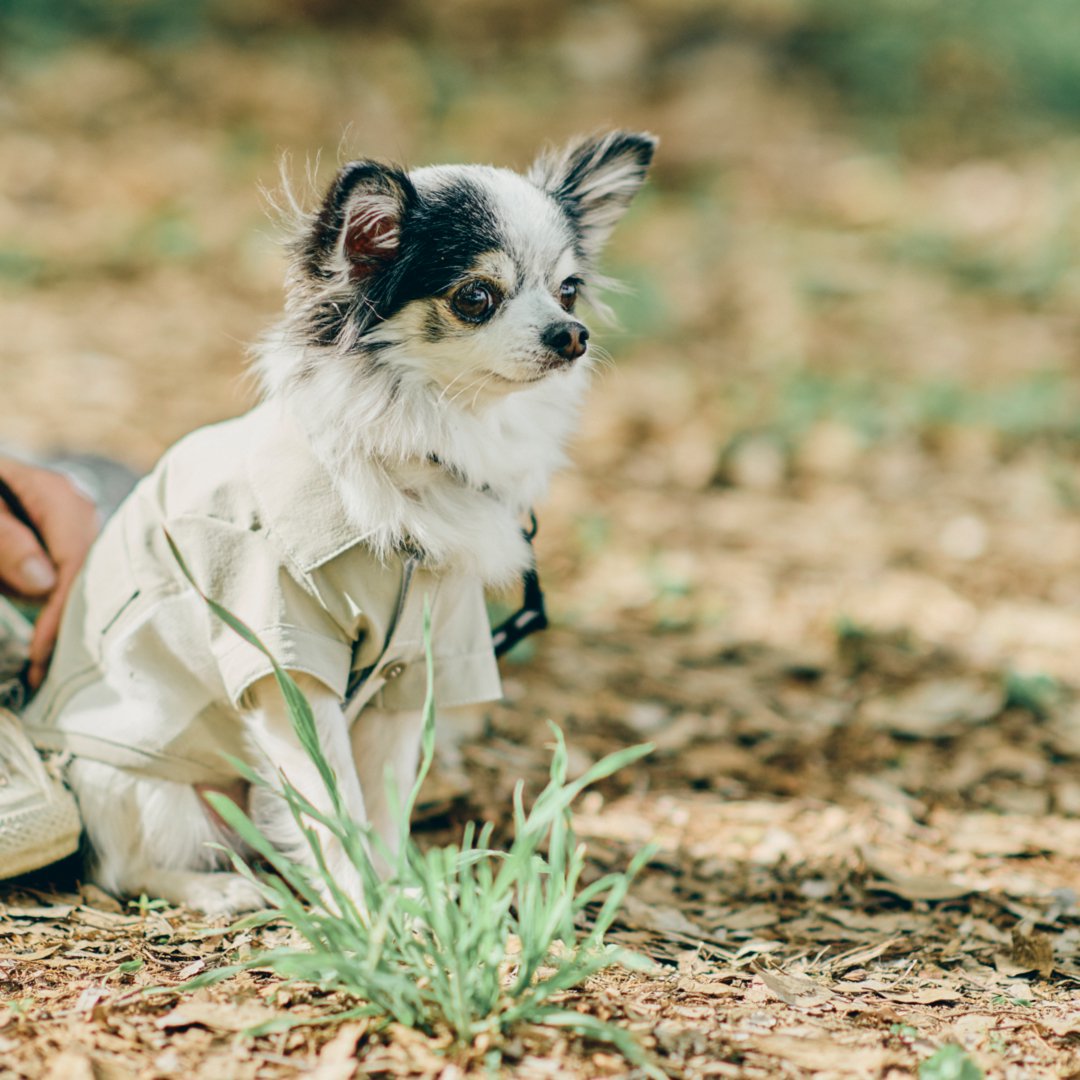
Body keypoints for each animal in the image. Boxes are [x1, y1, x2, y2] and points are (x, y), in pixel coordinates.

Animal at [21, 130, 652, 915]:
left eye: (568, 289)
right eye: (476, 297)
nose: (573, 334)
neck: (423, 457)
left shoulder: (411, 669)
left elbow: (379, 804)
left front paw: (397, 891)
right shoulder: (289, 665)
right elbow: (334, 804)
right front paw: (364, 911)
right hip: (146, 790)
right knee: (120, 869)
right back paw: (216, 889)